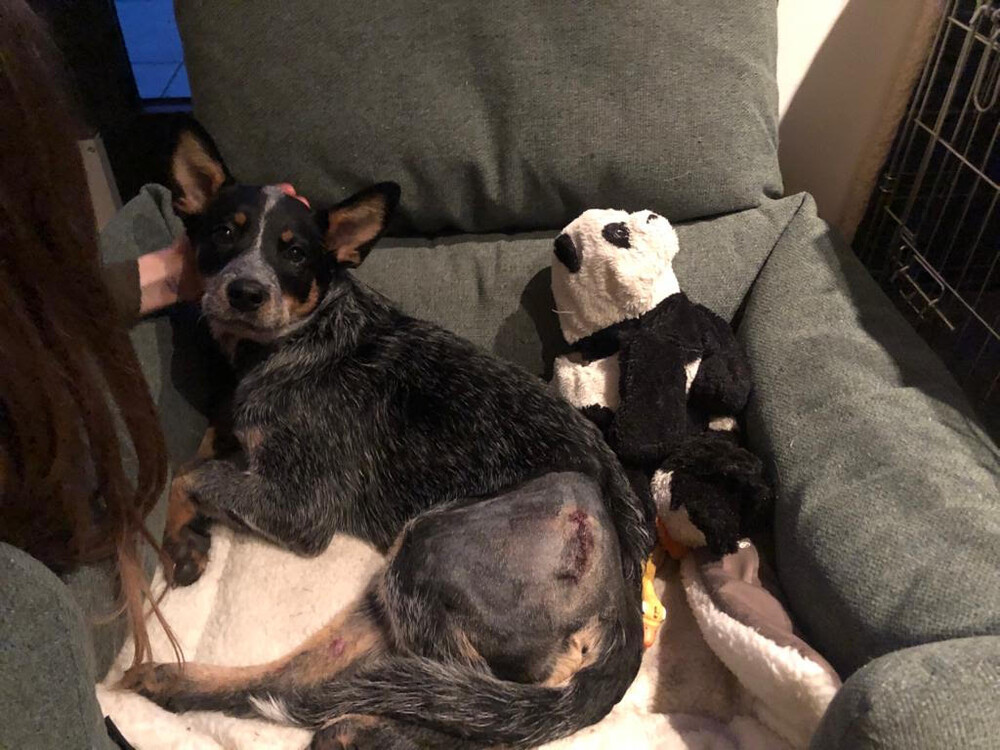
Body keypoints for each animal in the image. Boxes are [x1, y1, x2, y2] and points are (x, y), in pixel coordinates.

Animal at [122, 127, 655, 750]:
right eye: (223, 232)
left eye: (295, 252)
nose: (246, 291)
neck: (300, 338)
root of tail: (625, 598)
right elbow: (209, 443)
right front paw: (191, 534)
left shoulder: (301, 510)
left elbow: (190, 472)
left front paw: (184, 531)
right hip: (393, 589)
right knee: (306, 678)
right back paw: (172, 681)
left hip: (428, 548)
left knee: (472, 704)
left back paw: (365, 728)